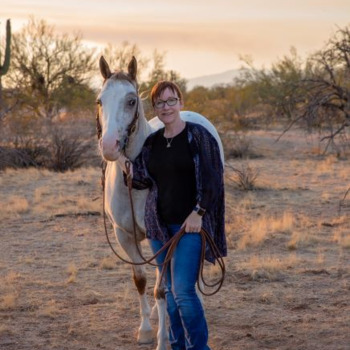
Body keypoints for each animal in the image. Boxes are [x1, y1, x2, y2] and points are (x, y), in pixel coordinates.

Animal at [96, 56, 224, 348]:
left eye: (131, 101)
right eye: (100, 101)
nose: (109, 146)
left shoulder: (162, 235)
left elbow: (163, 289)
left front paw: (163, 339)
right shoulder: (124, 235)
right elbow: (142, 280)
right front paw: (145, 330)